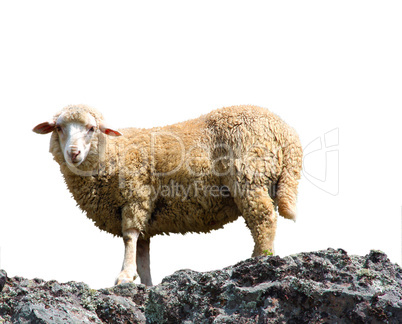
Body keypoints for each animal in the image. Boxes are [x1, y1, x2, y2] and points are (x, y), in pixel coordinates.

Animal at [33, 104, 302, 286]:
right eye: (59, 128)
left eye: (92, 128)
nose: (73, 153)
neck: (113, 152)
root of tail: (287, 133)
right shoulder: (144, 210)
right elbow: (143, 251)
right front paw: (146, 283)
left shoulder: (137, 196)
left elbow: (129, 238)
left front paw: (124, 276)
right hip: (266, 180)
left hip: (249, 176)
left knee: (264, 219)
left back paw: (259, 260)